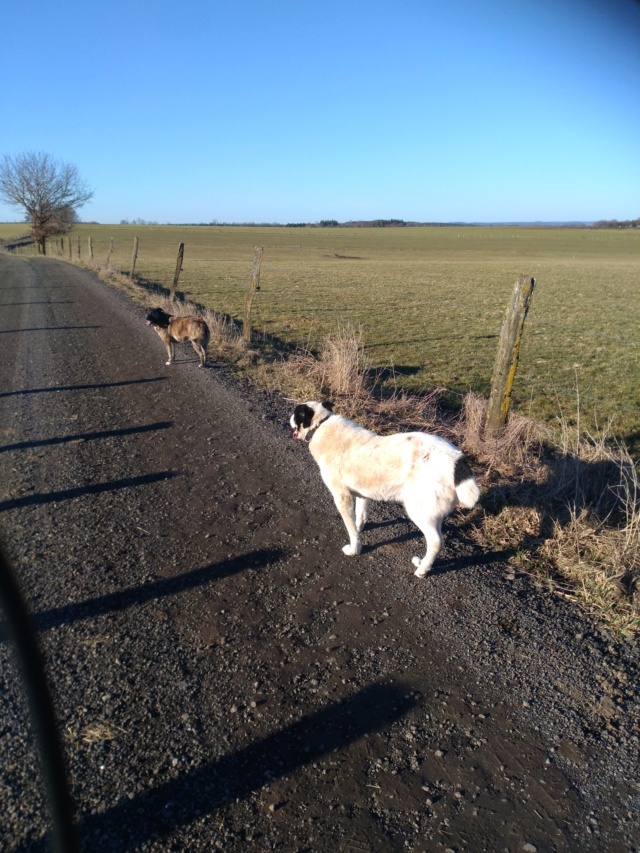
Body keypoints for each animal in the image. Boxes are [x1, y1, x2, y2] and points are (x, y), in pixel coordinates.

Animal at [290, 402, 480, 576]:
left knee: (436, 542)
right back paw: (422, 563)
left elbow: (350, 529)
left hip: (418, 511)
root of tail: (457, 459)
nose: (288, 419)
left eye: (296, 413)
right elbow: (360, 515)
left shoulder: (342, 497)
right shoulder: (362, 493)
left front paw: (354, 549)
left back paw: (422, 570)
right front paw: (359, 528)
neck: (321, 425)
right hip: (432, 512)